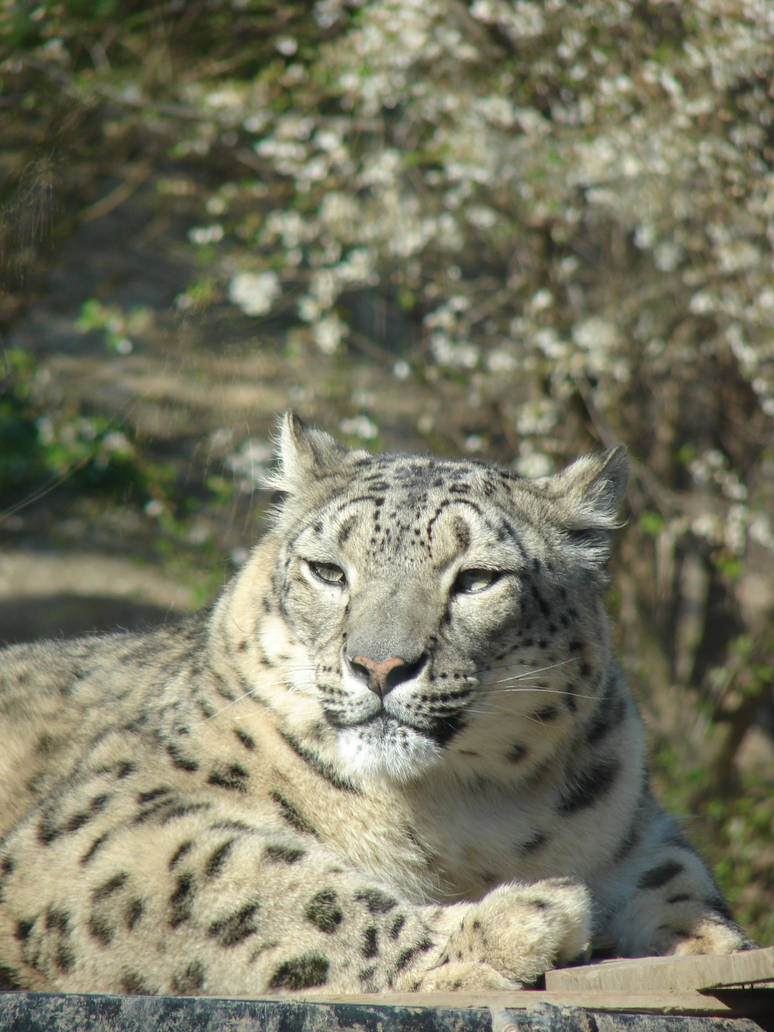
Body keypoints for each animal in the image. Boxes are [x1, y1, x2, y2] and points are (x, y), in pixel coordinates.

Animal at [0, 412, 750, 996]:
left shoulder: (634, 829)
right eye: (329, 570)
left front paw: (706, 943)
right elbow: (271, 885)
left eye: (477, 579)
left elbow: (680, 884)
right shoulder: (114, 820)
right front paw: (517, 924)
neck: (459, 811)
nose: (379, 666)